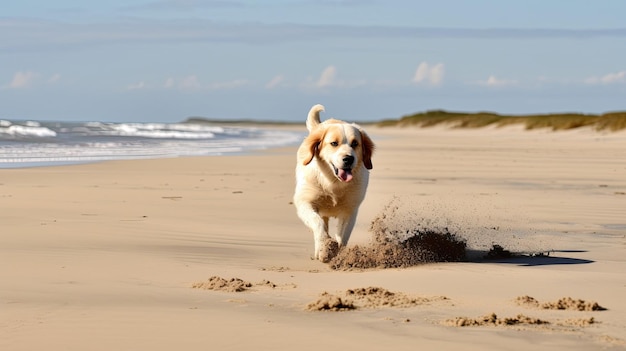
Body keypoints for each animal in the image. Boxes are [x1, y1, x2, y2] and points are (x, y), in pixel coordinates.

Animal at [292, 104, 372, 262]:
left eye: (355, 143)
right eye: (334, 143)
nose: (348, 159)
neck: (333, 183)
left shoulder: (350, 209)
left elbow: (343, 235)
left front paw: (341, 254)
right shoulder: (305, 202)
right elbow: (318, 223)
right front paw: (324, 247)